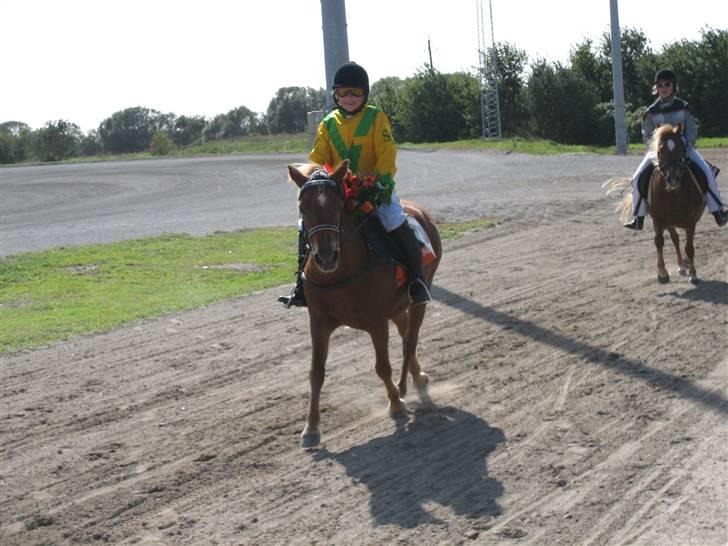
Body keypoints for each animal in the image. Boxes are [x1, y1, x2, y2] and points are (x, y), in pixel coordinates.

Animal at [288, 158, 440, 446]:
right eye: (303, 207)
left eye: (337, 206)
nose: (326, 256)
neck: (341, 273)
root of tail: (422, 212)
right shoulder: (319, 322)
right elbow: (316, 372)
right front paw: (311, 427)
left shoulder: (376, 321)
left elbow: (382, 367)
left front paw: (396, 403)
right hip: (397, 306)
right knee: (405, 331)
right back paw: (417, 376)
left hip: (420, 297)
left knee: (410, 340)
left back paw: (406, 386)